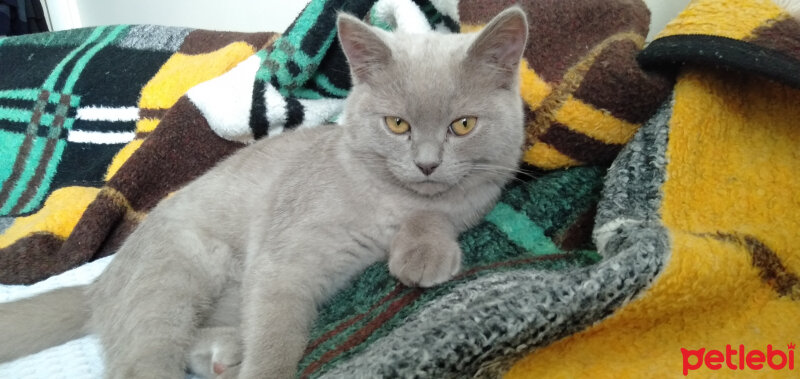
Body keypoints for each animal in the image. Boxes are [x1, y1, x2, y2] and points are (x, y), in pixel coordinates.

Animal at [0, 6, 528, 379]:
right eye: (397, 124)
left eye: (463, 125)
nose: (427, 163)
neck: (393, 199)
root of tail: (100, 283)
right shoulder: (283, 259)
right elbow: (275, 336)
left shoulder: (474, 198)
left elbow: (438, 212)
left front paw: (422, 251)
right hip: (173, 276)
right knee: (142, 361)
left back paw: (223, 353)